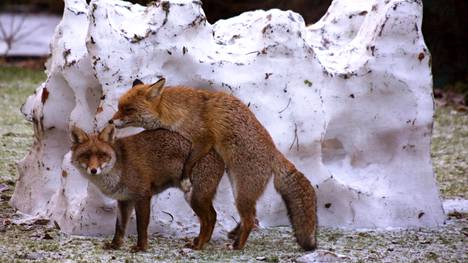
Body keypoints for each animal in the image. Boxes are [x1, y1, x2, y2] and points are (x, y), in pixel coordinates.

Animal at [69, 125, 225, 253]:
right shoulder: (124, 200)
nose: (93, 170)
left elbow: (141, 227)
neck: (120, 166)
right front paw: (115, 245)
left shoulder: (142, 195)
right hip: (197, 198)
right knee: (213, 215)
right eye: (86, 156)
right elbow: (120, 227)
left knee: (208, 219)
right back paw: (204, 242)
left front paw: (141, 247)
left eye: (102, 155)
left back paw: (199, 245)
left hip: (194, 197)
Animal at [111, 78, 318, 252]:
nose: (111, 121)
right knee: (253, 215)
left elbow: (190, 161)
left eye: (128, 109)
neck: (179, 110)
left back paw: (237, 246)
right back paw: (233, 236)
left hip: (241, 193)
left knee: (250, 219)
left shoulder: (203, 138)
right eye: (119, 106)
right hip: (239, 190)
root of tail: (274, 152)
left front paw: (185, 176)